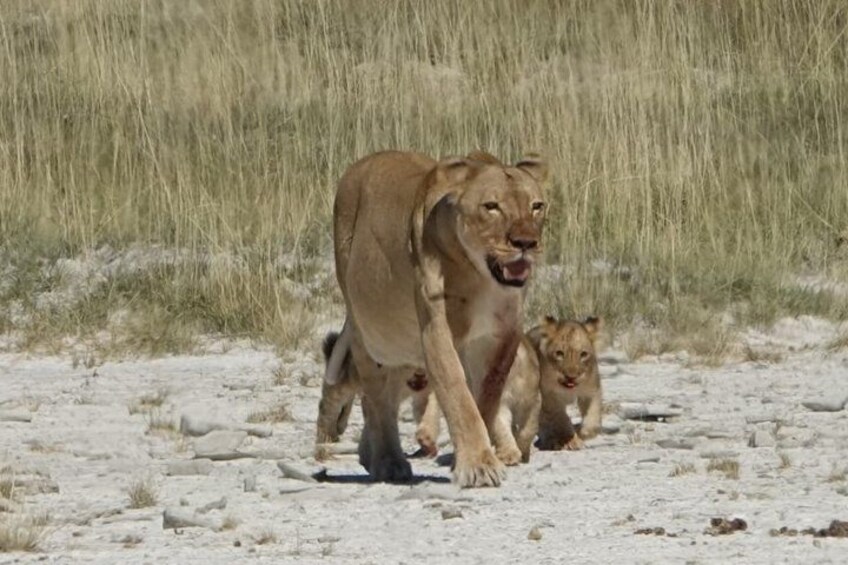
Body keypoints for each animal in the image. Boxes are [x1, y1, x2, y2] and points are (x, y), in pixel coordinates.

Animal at [327, 150, 547, 487]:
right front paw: (479, 466)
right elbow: (457, 393)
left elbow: (487, 398)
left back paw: (369, 455)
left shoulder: (504, 335)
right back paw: (388, 461)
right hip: (368, 330)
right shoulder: (436, 331)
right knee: (377, 398)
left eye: (537, 206)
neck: (481, 278)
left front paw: (471, 456)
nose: (526, 243)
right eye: (491, 206)